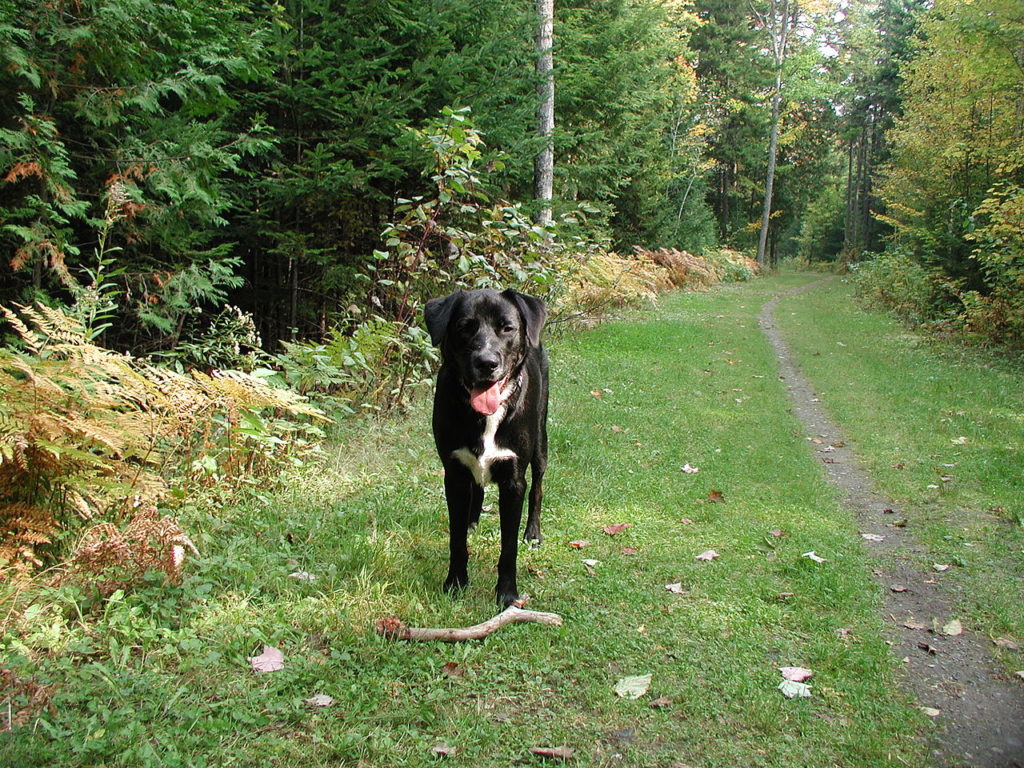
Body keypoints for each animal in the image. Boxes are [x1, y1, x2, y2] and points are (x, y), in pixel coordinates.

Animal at [421, 288, 548, 606]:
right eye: (465, 327)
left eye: (507, 328)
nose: (486, 362)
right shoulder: (453, 473)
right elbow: (456, 539)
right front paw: (455, 583)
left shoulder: (514, 480)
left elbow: (509, 546)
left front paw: (507, 593)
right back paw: (472, 519)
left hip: (541, 442)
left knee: (538, 488)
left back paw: (533, 533)